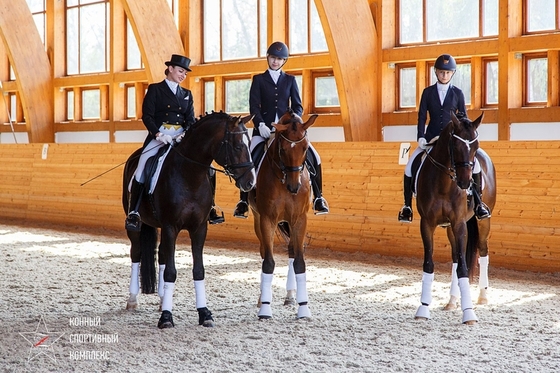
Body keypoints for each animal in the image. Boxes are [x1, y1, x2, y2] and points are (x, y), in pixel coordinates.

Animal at [122, 112, 256, 326]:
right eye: (237, 146)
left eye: (249, 143)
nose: (250, 182)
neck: (190, 175)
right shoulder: (171, 226)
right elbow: (171, 272)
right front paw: (166, 317)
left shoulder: (199, 228)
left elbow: (198, 270)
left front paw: (204, 313)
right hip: (136, 224)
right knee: (136, 253)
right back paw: (133, 299)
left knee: (162, 255)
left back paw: (162, 299)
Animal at [248, 109, 318, 318]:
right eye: (283, 149)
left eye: (304, 148)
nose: (294, 187)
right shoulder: (267, 219)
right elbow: (269, 262)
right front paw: (265, 308)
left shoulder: (299, 220)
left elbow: (299, 262)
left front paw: (303, 308)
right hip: (258, 220)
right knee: (264, 253)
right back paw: (262, 298)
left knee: (292, 251)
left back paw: (290, 295)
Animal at [414, 112, 496, 324]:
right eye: (456, 146)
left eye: (475, 146)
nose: (466, 183)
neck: (444, 183)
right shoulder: (427, 223)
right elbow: (430, 263)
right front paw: (423, 308)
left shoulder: (459, 224)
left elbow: (464, 269)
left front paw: (469, 312)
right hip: (450, 227)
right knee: (456, 258)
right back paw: (452, 300)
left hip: (483, 221)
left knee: (483, 251)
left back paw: (483, 296)